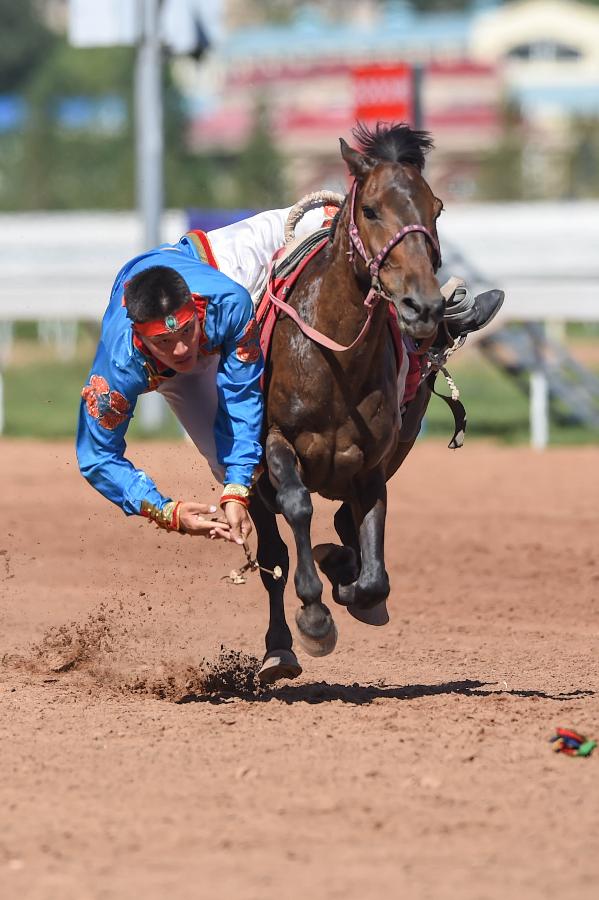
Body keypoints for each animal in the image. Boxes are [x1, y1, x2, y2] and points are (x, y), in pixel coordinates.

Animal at [250, 121, 446, 684]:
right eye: (373, 209)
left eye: (436, 208)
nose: (423, 306)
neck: (335, 360)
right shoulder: (274, 443)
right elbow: (297, 507)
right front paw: (315, 614)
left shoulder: (373, 464)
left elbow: (374, 570)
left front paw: (350, 582)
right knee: (272, 557)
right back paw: (280, 648)